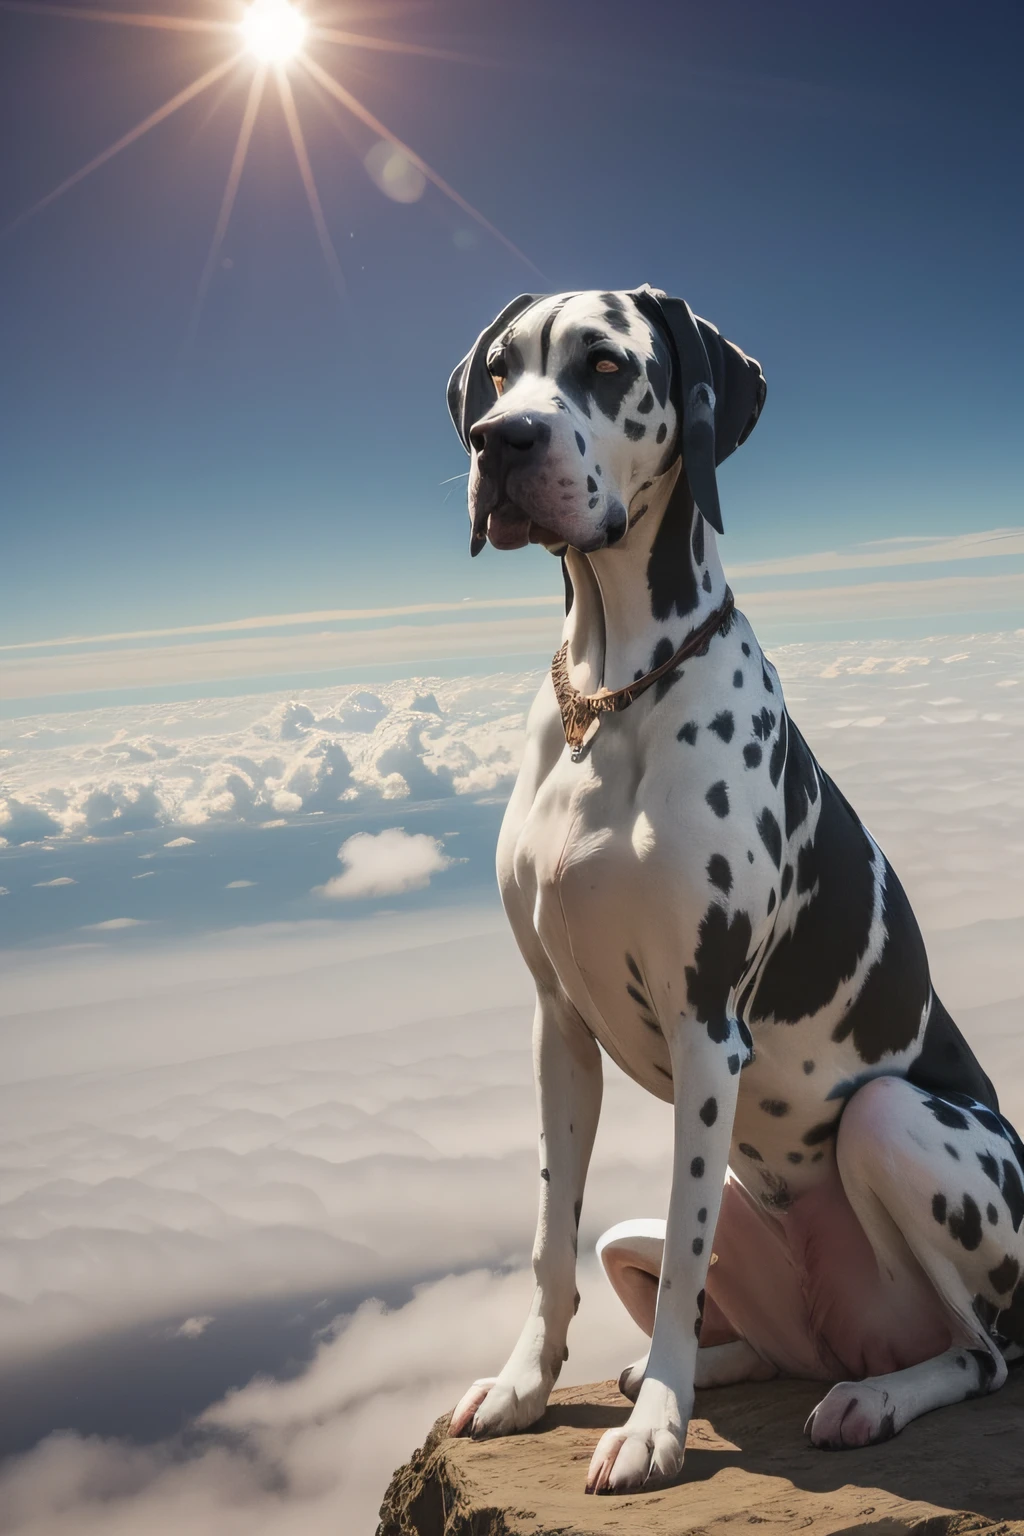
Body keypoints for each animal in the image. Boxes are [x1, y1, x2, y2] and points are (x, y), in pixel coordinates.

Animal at [442, 285, 1024, 1486]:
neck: (612, 693)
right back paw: (701, 1370)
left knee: (984, 1353)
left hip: (900, 1126)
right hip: (695, 1252)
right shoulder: (557, 1027)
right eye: (498, 373)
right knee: (737, 1315)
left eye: (604, 364)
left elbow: (687, 1254)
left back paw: (871, 1397)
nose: (500, 442)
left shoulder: (707, 1025)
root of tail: (851, 1335)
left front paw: (654, 1435)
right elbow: (551, 1239)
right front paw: (529, 1388)